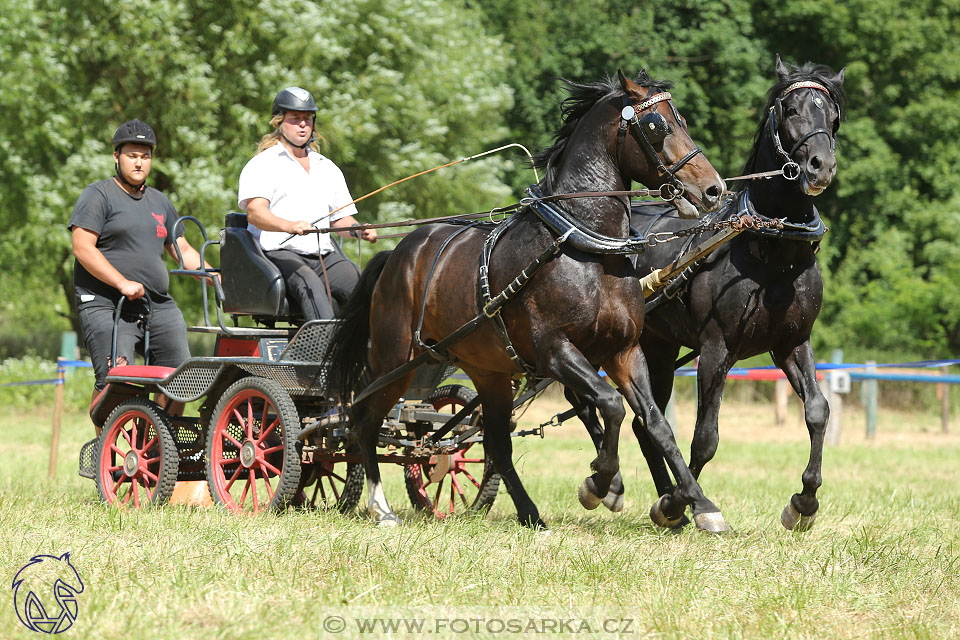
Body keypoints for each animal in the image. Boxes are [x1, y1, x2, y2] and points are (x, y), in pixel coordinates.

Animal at [330, 70, 728, 528]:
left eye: (682, 120)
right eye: (657, 125)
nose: (714, 189)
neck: (586, 247)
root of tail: (398, 253)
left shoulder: (624, 352)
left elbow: (655, 423)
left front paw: (697, 505)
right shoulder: (554, 351)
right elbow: (611, 405)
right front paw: (599, 484)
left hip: (489, 373)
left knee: (496, 446)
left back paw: (530, 513)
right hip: (396, 360)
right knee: (364, 420)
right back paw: (381, 507)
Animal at [568, 56, 848, 528]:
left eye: (832, 117)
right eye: (791, 111)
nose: (819, 167)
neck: (770, 249)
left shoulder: (793, 343)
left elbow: (817, 411)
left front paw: (804, 501)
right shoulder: (717, 348)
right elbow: (705, 438)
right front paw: (684, 504)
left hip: (658, 348)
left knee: (644, 422)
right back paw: (627, 489)